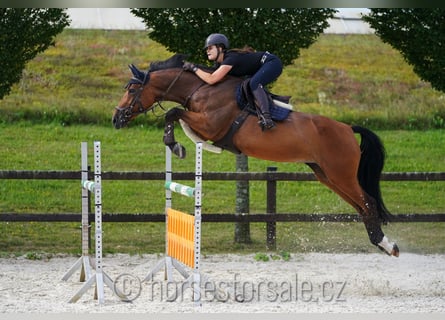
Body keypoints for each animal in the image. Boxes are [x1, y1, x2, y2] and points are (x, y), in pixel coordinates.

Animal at [112, 53, 398, 258]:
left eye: (131, 90)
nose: (116, 118)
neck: (202, 89)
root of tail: (348, 129)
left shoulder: (211, 125)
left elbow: (173, 113)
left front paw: (176, 146)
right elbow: (175, 114)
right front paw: (178, 145)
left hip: (341, 174)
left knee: (368, 202)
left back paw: (386, 244)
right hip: (327, 176)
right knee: (361, 206)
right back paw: (382, 243)